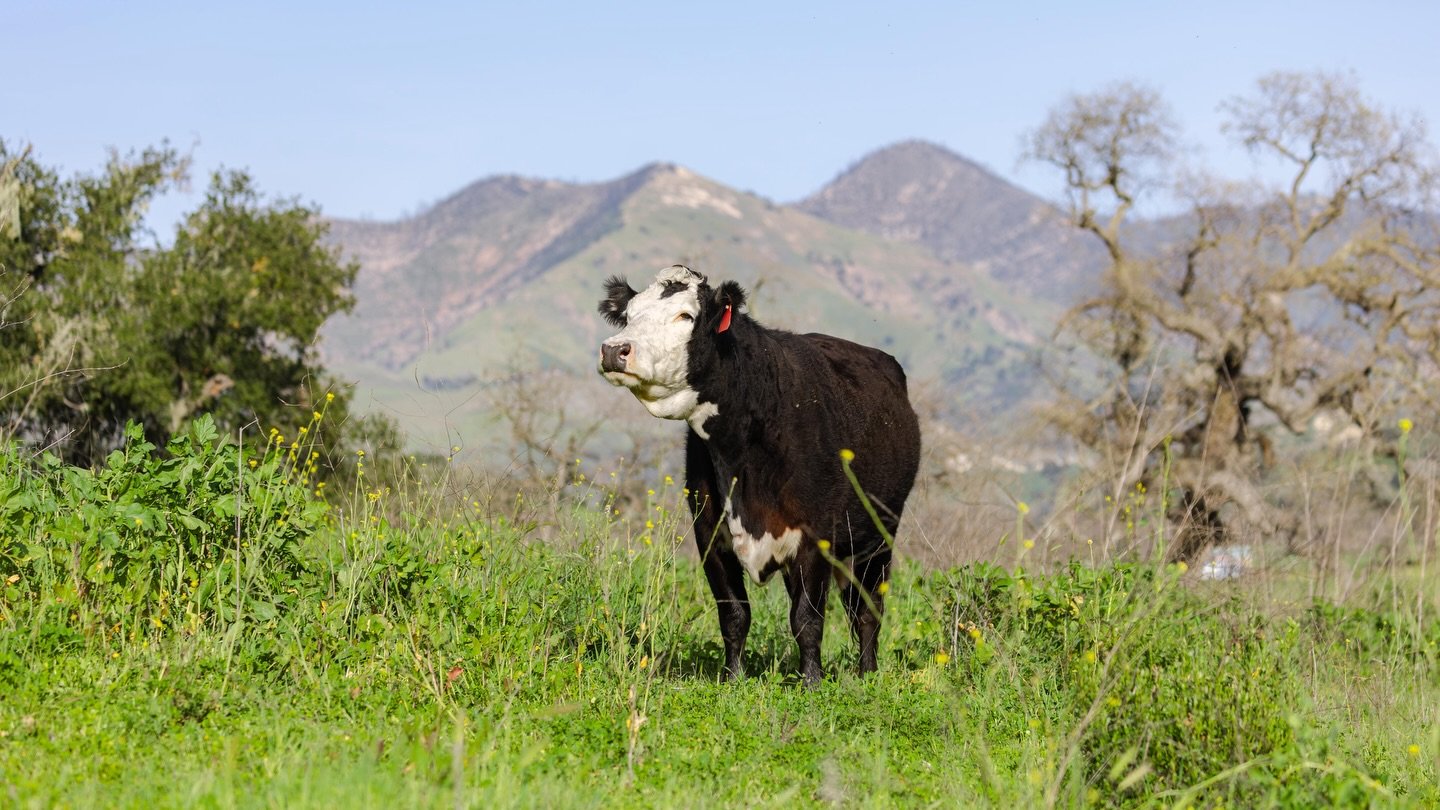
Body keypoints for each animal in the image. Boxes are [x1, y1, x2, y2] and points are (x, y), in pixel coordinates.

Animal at [596, 264, 921, 684]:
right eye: (630, 315)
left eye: (685, 315)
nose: (614, 350)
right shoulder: (710, 534)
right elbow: (734, 614)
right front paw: (733, 678)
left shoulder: (815, 536)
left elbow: (807, 619)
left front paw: (812, 683)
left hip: (880, 534)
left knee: (867, 611)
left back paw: (867, 673)